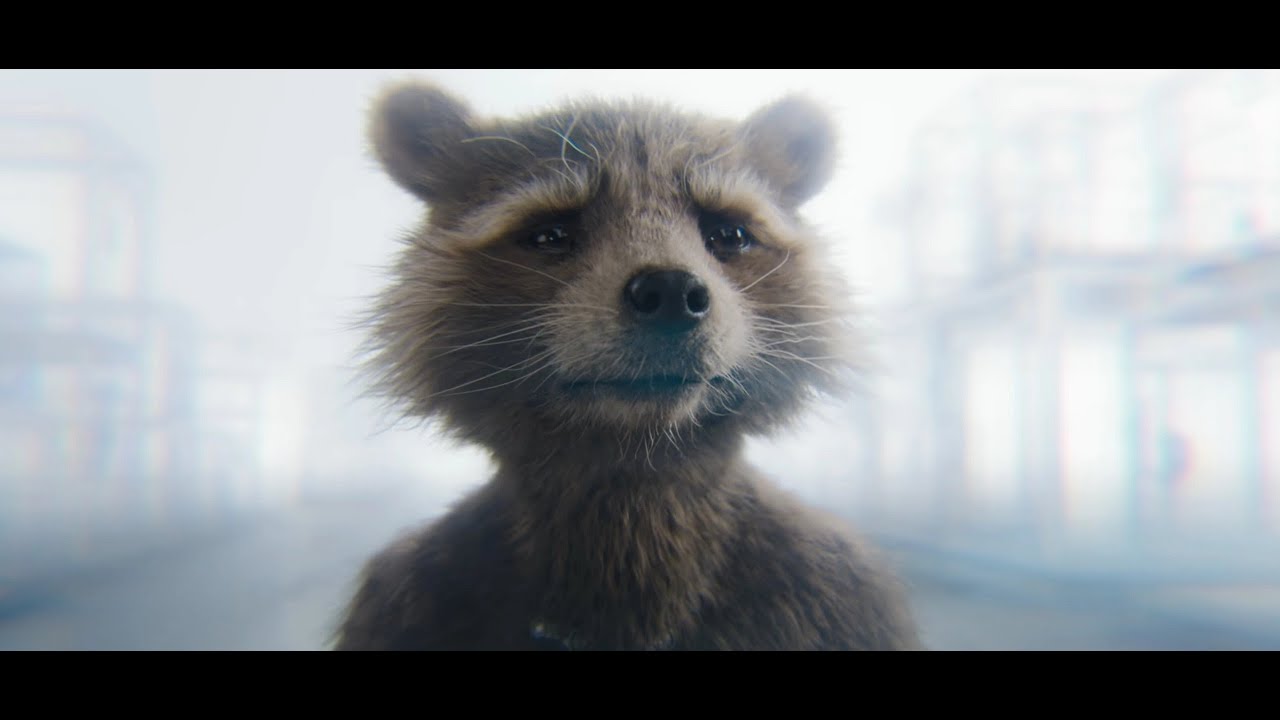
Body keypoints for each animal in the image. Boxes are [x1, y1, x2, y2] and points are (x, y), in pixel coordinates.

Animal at [333, 81, 921, 650]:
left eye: (728, 234)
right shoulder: (408, 597)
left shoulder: (839, 589)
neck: (634, 464)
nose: (671, 291)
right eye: (550, 233)